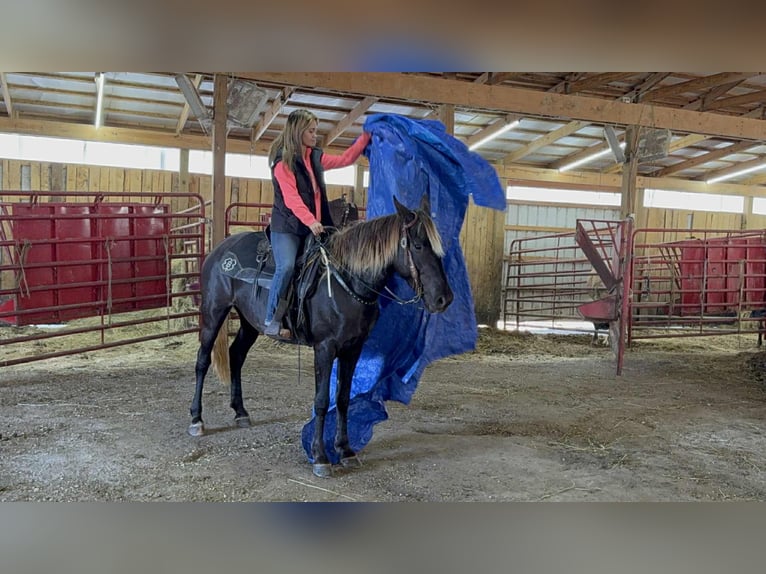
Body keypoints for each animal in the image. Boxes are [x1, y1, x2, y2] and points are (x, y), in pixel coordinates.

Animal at [188, 194, 454, 477]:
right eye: (418, 245)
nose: (444, 299)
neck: (345, 282)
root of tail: (219, 250)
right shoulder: (325, 348)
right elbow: (322, 400)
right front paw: (320, 457)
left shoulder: (353, 349)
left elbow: (343, 398)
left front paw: (345, 451)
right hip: (214, 313)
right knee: (202, 361)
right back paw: (196, 419)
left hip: (249, 323)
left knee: (236, 356)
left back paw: (240, 413)